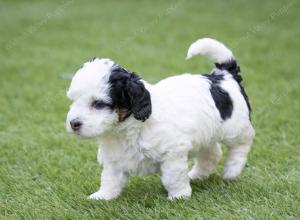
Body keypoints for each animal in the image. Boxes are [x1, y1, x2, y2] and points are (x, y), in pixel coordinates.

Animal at [66, 38, 255, 201]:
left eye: (98, 104)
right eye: (73, 100)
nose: (73, 124)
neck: (126, 129)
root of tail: (224, 77)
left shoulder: (172, 154)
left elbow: (173, 177)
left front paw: (179, 196)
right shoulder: (114, 159)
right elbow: (110, 178)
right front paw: (103, 196)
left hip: (235, 126)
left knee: (241, 144)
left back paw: (232, 171)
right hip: (206, 133)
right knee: (212, 152)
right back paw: (197, 175)